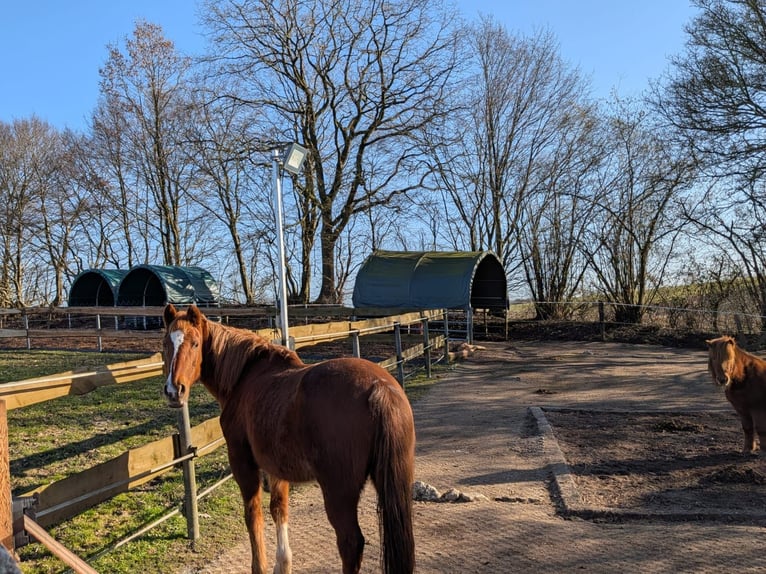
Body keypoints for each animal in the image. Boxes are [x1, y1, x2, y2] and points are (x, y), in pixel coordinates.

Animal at [161, 304, 415, 574]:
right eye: (166, 343)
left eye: (195, 343)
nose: (174, 391)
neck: (246, 376)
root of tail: (379, 388)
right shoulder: (276, 467)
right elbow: (279, 509)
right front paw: (282, 565)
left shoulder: (243, 463)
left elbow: (253, 515)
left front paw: (260, 567)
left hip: (339, 491)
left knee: (350, 543)